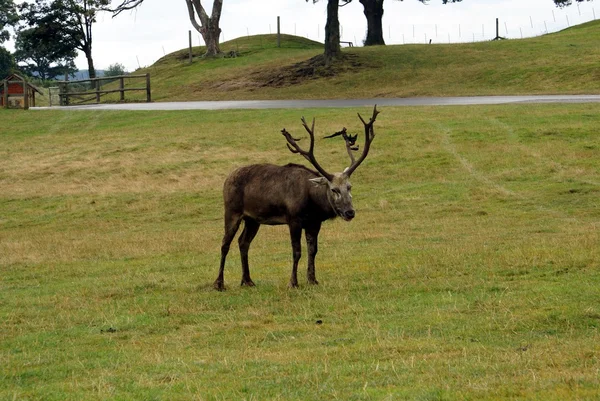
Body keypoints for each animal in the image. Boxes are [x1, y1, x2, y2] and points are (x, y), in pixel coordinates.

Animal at [214, 104, 380, 290]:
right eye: (334, 189)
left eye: (349, 187)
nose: (350, 212)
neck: (313, 204)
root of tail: (226, 179)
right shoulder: (293, 219)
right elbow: (297, 251)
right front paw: (293, 282)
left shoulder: (314, 222)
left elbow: (313, 251)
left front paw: (312, 279)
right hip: (232, 211)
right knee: (224, 244)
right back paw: (219, 283)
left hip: (253, 219)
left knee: (243, 242)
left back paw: (247, 280)